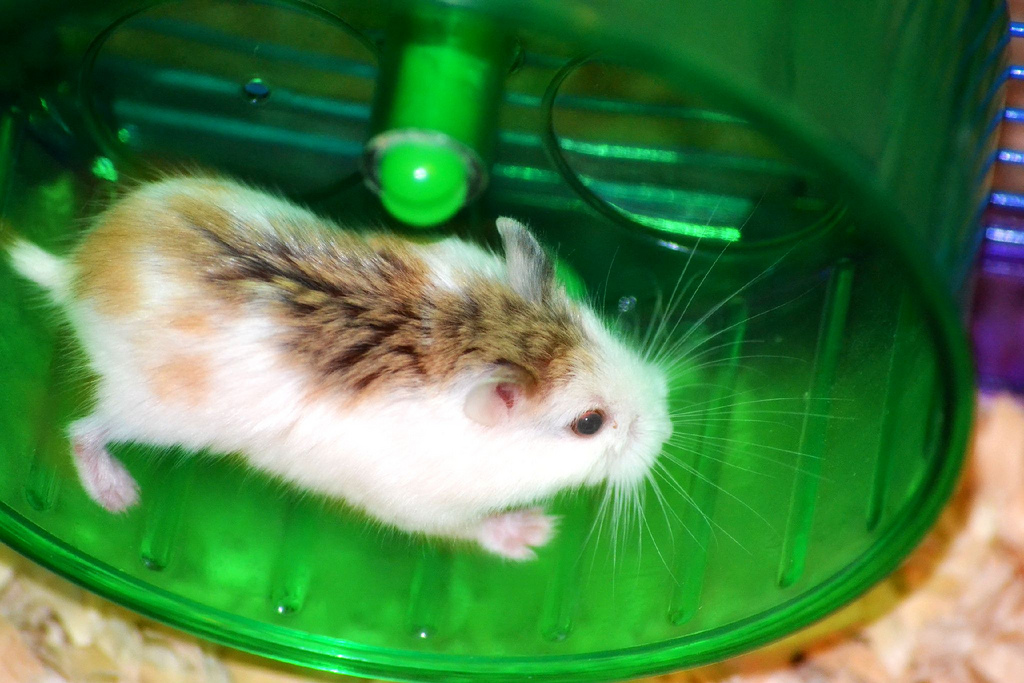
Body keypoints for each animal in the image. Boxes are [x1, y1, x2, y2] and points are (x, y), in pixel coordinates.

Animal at [7, 175, 672, 560]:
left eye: (597, 326)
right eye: (589, 424)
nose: (668, 429)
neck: (476, 331)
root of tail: (75, 274)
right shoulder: (418, 504)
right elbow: (470, 530)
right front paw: (536, 536)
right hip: (151, 411)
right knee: (82, 431)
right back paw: (119, 497)